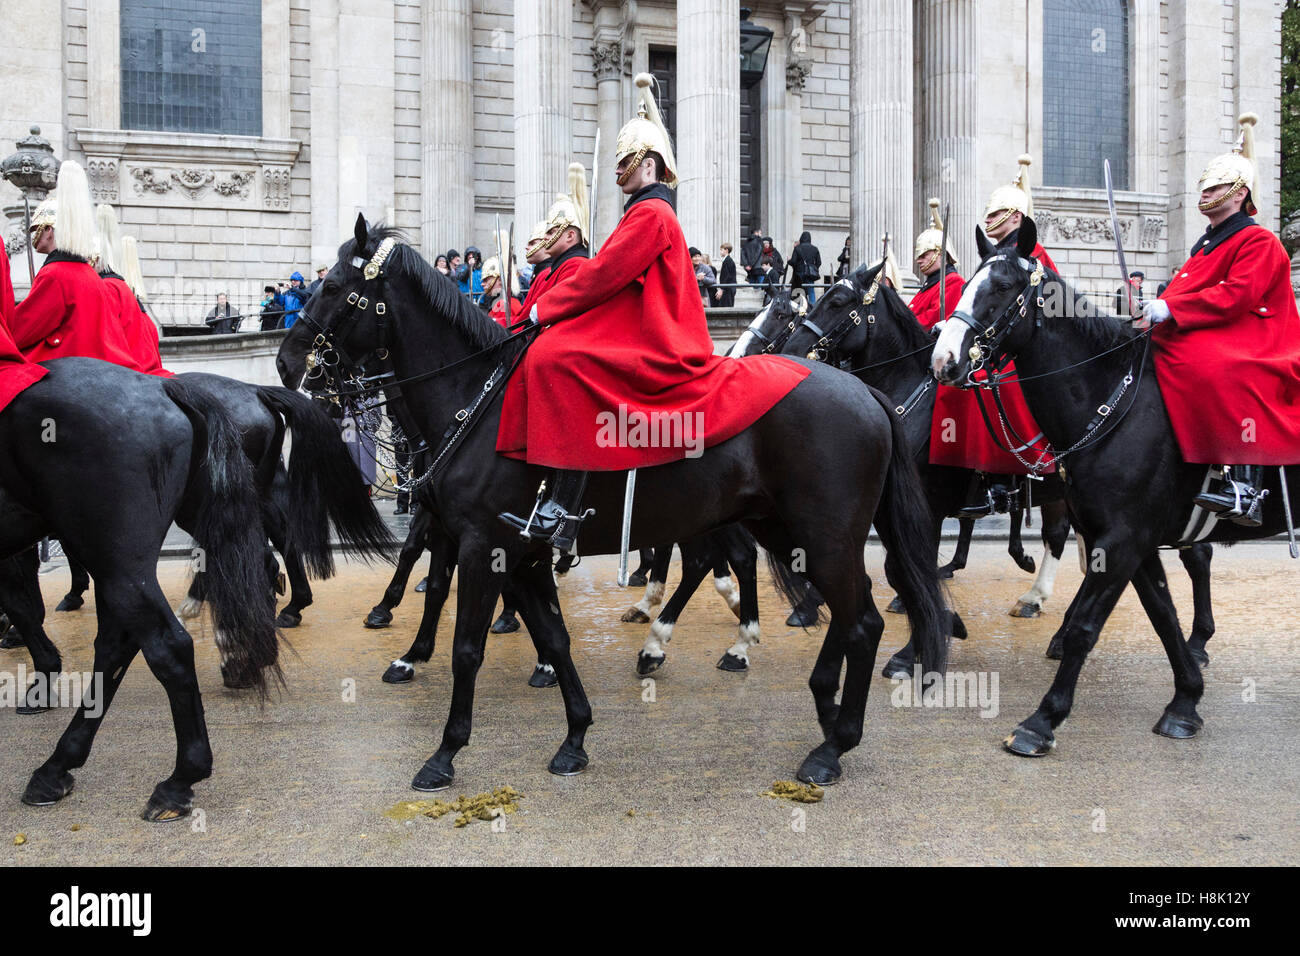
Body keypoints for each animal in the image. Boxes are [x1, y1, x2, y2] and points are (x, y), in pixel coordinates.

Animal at [287, 218, 956, 790]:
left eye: (336, 286)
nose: (290, 363)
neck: (480, 400)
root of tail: (865, 392)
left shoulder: (485, 546)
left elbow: (466, 647)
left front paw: (444, 751)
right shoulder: (521, 553)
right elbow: (553, 637)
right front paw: (574, 737)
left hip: (823, 535)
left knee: (861, 621)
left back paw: (831, 741)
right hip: (781, 527)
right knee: (819, 603)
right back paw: (809, 696)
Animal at [930, 222, 1284, 754]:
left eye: (1003, 287)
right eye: (967, 283)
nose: (944, 360)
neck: (1116, 403)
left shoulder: (1123, 541)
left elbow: (1086, 627)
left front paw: (1042, 720)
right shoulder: (1130, 540)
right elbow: (1162, 615)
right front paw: (1185, 701)